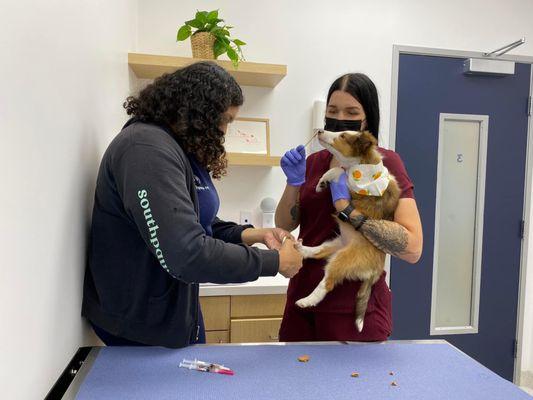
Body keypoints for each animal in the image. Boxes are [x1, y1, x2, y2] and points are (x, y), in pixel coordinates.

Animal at [296, 129, 400, 332]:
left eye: (343, 136)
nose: (319, 130)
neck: (363, 165)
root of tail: (375, 271)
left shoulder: (355, 191)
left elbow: (340, 172)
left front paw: (327, 180)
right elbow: (336, 170)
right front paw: (321, 182)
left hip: (343, 259)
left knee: (327, 282)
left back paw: (306, 300)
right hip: (336, 243)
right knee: (318, 251)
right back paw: (301, 249)